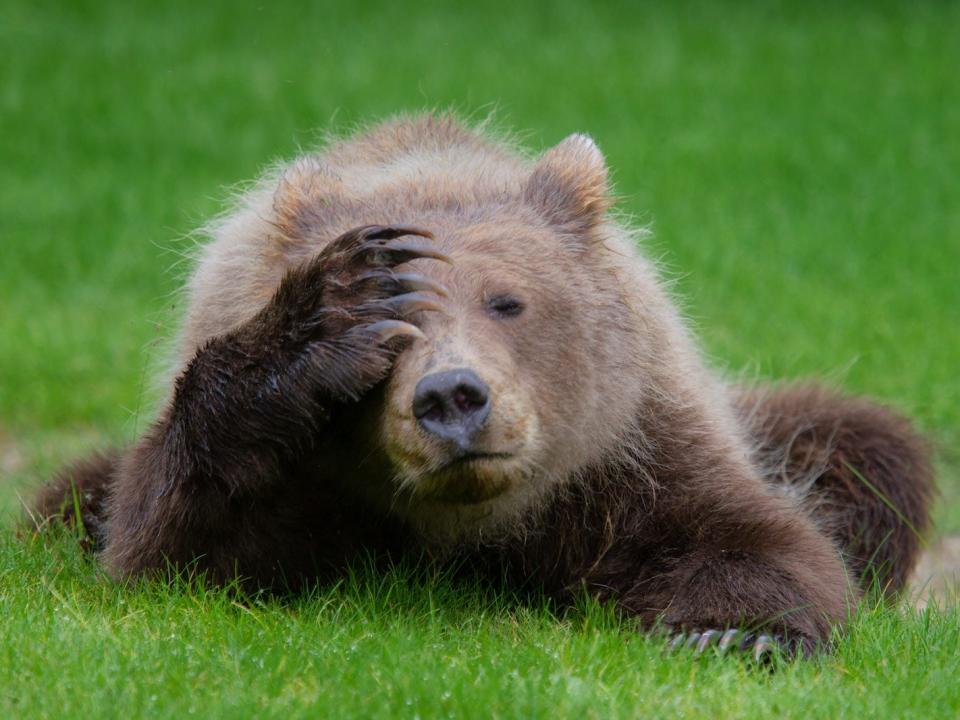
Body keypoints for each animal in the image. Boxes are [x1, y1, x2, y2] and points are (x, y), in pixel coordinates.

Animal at [33, 114, 932, 660]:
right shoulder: (304, 481)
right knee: (64, 500)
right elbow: (175, 544)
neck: (468, 525)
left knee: (867, 448)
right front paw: (322, 316)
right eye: (396, 327)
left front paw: (734, 635)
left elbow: (749, 539)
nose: (451, 398)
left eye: (507, 301)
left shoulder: (627, 449)